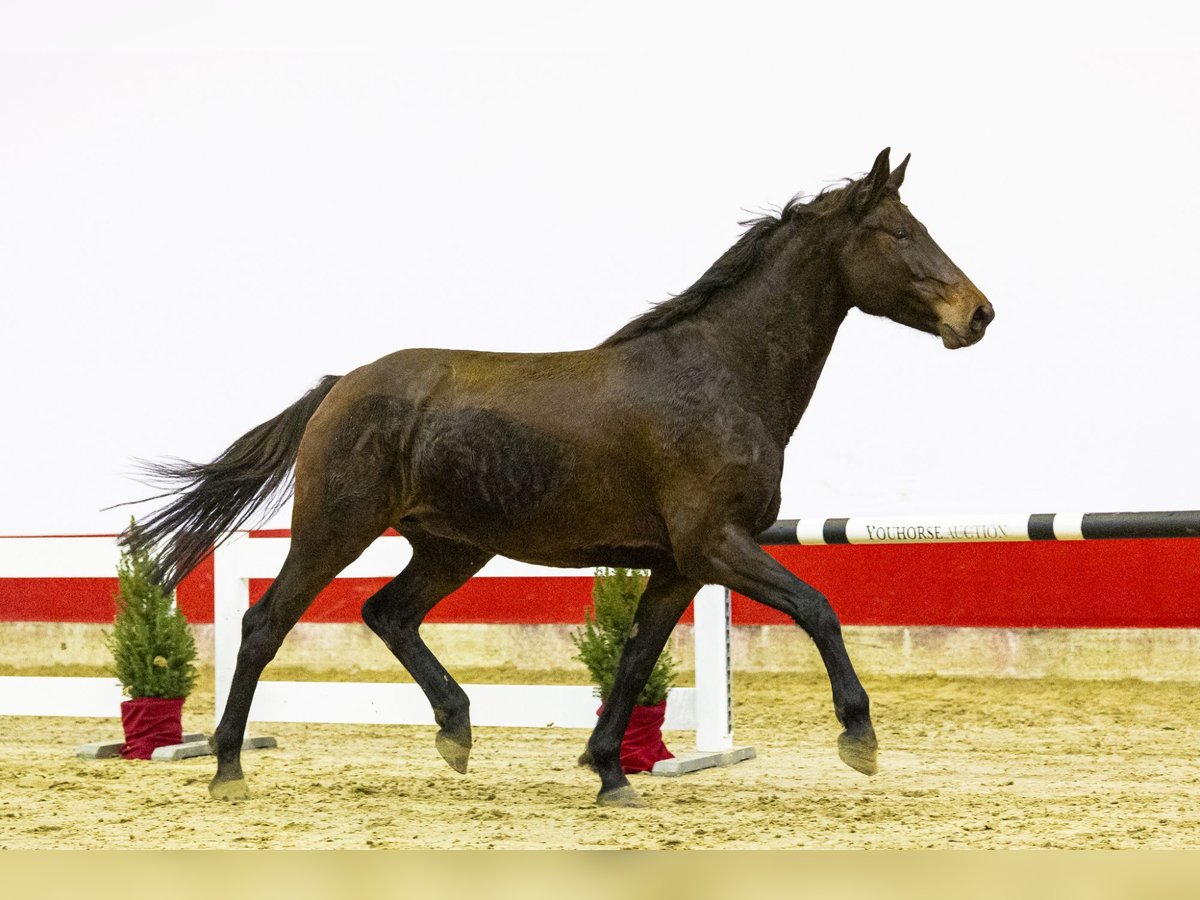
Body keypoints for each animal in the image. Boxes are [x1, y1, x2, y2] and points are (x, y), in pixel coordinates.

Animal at [125, 148, 993, 807]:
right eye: (896, 231)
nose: (977, 314)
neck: (720, 374)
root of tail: (342, 385)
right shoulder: (716, 544)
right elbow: (817, 607)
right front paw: (859, 737)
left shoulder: (681, 565)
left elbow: (636, 658)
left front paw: (611, 773)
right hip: (334, 528)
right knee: (265, 623)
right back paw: (228, 768)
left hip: (451, 546)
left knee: (389, 613)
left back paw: (456, 731)